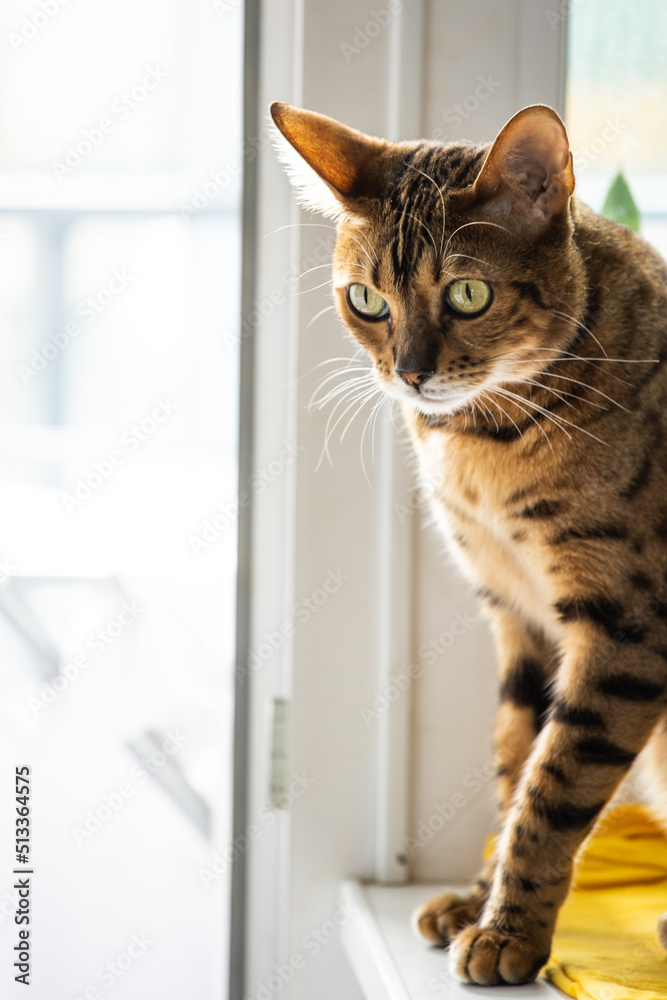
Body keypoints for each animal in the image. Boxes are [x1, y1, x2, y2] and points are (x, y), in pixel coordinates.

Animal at [270, 99, 667, 984]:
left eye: (467, 292)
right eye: (366, 300)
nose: (410, 373)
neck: (488, 446)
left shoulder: (624, 624)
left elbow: (554, 787)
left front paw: (508, 933)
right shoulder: (521, 618)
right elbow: (515, 765)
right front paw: (479, 904)